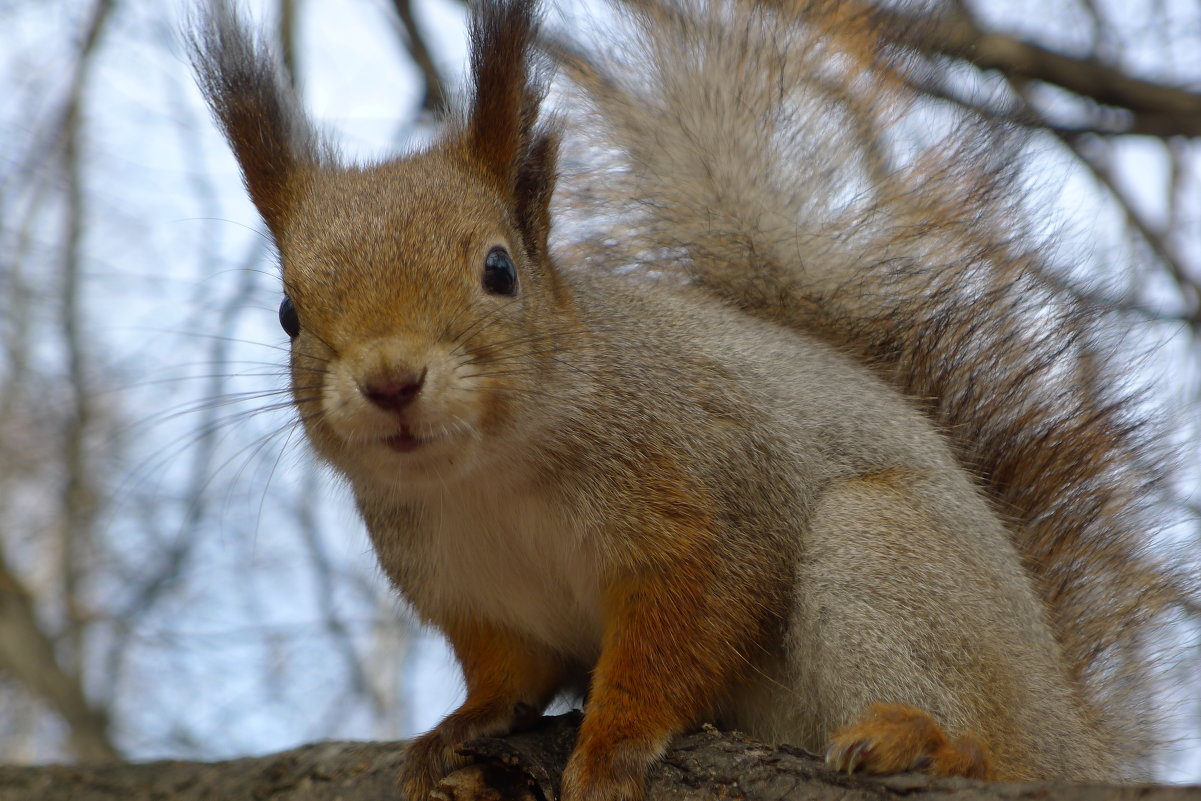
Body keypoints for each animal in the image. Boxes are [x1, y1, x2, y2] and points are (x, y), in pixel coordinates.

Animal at [189, 0, 1181, 797]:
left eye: (499, 270)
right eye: (287, 312)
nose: (390, 380)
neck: (487, 478)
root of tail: (1072, 730)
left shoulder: (705, 495)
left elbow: (679, 638)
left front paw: (611, 744)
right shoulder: (476, 596)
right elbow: (508, 673)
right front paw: (456, 729)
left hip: (884, 549)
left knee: (992, 741)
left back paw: (931, 742)